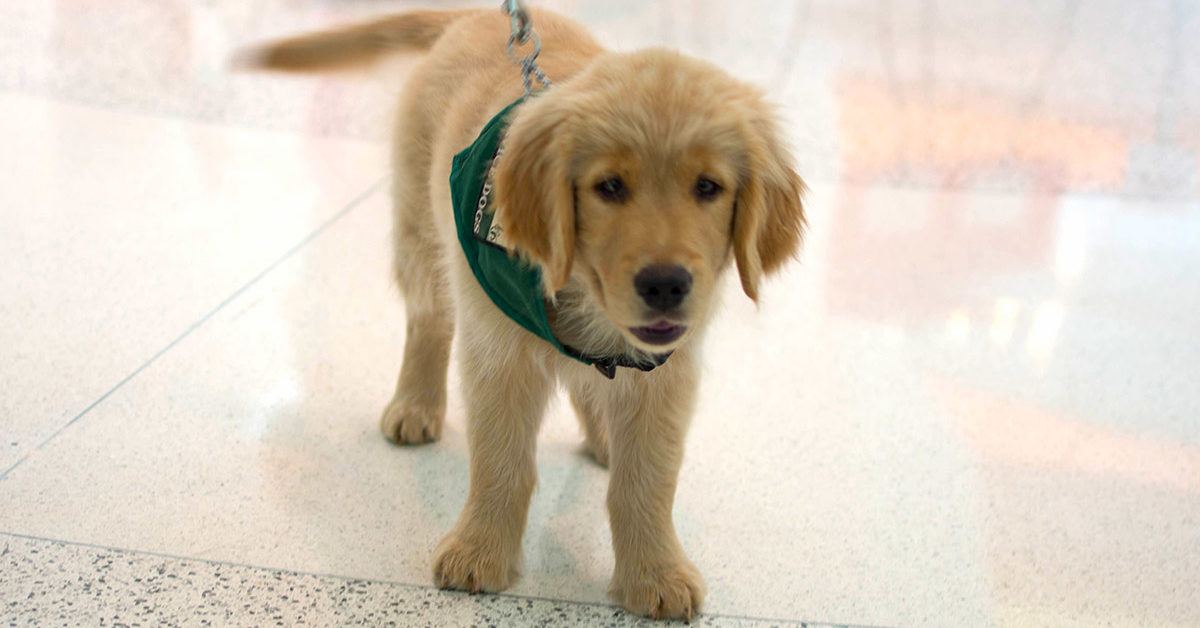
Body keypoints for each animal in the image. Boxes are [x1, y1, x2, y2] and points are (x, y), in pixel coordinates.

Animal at [241, 7, 806, 619]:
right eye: (610, 186)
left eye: (708, 186)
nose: (665, 284)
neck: (584, 303)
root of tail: (476, 13)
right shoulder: (497, 355)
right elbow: (502, 462)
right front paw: (479, 551)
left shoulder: (666, 374)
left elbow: (646, 481)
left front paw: (657, 573)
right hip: (421, 225)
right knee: (428, 319)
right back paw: (415, 404)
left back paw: (603, 435)